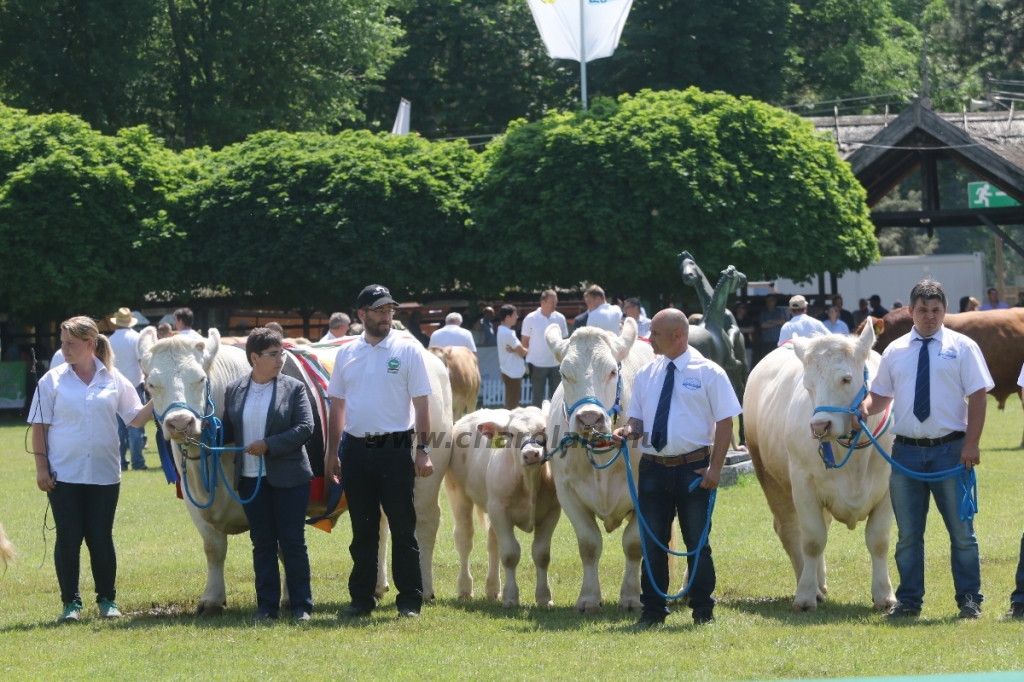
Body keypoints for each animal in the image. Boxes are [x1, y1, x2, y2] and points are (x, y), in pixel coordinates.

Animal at [142, 327, 454, 614]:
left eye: (200, 379)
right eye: (150, 385)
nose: (180, 423)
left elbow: (284, 544)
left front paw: (291, 598)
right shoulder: (195, 502)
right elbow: (213, 548)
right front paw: (212, 599)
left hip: (423, 475)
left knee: (423, 523)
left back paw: (424, 590)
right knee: (379, 524)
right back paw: (377, 587)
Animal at [446, 403, 561, 606]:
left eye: (543, 430)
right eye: (512, 434)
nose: (531, 454)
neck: (529, 482)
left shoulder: (551, 512)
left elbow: (542, 555)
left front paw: (544, 597)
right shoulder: (500, 512)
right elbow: (509, 554)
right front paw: (510, 597)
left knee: (493, 544)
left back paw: (493, 589)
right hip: (458, 494)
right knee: (464, 538)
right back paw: (465, 589)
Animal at [544, 317, 655, 610]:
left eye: (612, 372)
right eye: (564, 374)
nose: (589, 418)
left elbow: (634, 544)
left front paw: (631, 597)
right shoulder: (566, 492)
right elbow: (589, 544)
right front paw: (589, 598)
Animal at [745, 323, 897, 610]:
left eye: (846, 379)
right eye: (807, 385)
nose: (819, 425)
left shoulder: (889, 487)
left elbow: (879, 540)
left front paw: (884, 594)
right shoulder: (803, 484)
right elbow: (813, 540)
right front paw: (805, 595)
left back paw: (821, 582)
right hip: (768, 476)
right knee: (791, 530)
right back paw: (812, 586)